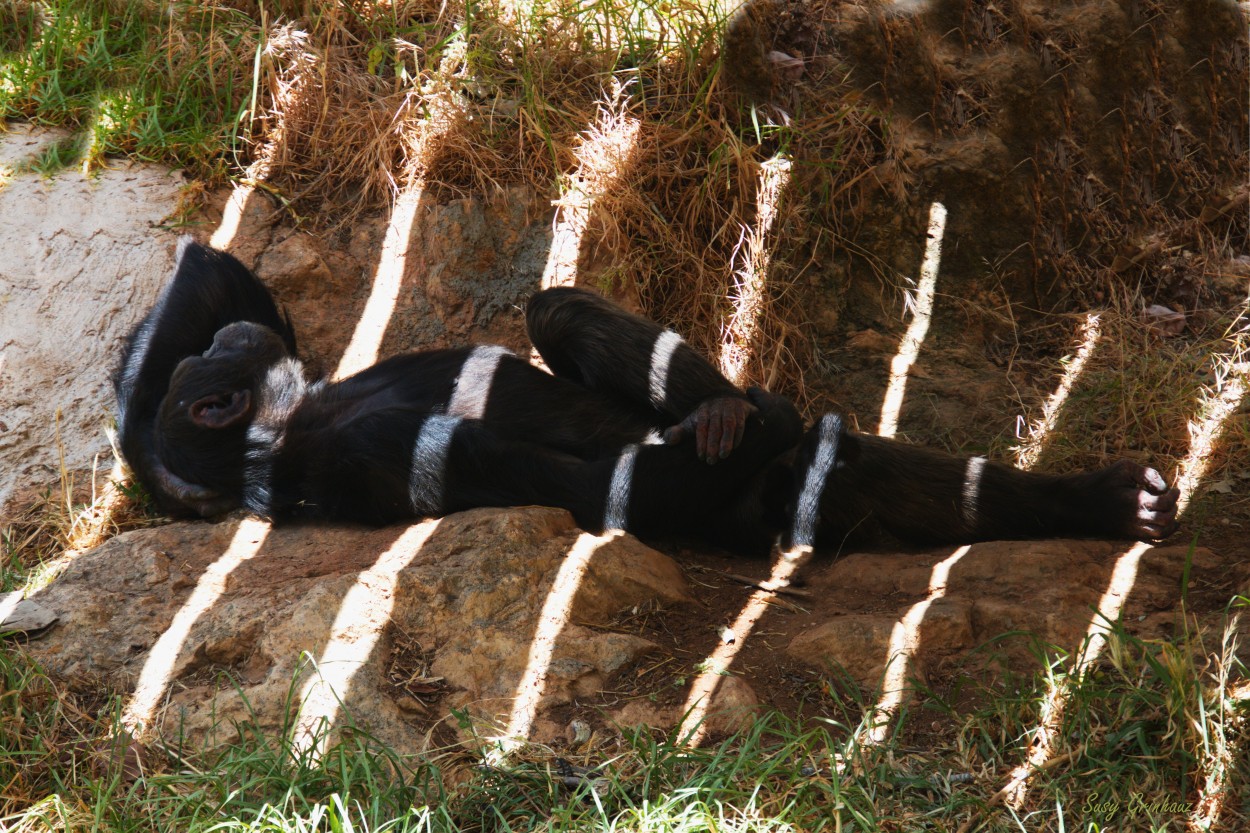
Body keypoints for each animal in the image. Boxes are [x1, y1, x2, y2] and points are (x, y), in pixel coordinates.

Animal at [112, 238, 1175, 550]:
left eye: (228, 347)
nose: (234, 344)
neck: (286, 425)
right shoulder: (372, 454)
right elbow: (567, 481)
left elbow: (168, 344)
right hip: (749, 502)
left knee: (557, 313)